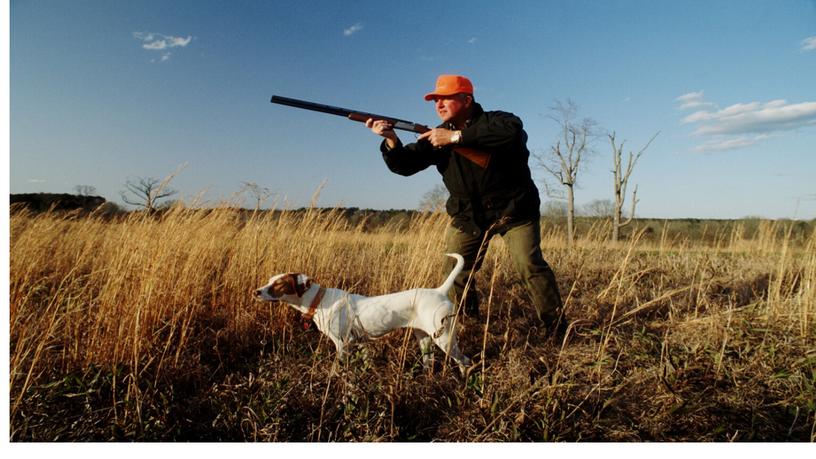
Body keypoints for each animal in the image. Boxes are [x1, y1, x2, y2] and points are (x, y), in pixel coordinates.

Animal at [255, 253, 472, 376]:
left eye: (279, 284)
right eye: (270, 280)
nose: (256, 292)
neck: (320, 299)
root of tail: (440, 291)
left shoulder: (343, 343)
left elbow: (337, 368)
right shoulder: (360, 342)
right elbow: (366, 361)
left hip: (445, 339)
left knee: (466, 362)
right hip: (425, 339)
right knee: (430, 362)